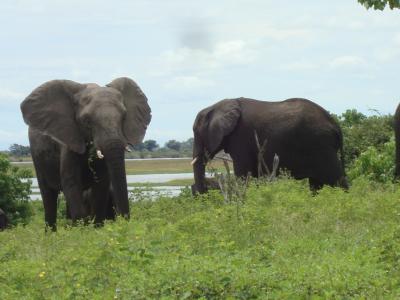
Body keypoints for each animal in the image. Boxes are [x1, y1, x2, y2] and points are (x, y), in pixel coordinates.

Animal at [20, 77, 152, 230]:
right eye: (87, 121)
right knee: (48, 196)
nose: (124, 222)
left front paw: (96, 229)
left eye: (124, 117)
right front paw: (81, 231)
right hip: (36, 156)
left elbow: (101, 183)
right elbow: (71, 181)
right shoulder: (69, 138)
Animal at [191, 97, 346, 193]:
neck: (218, 106)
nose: (204, 192)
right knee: (316, 184)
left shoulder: (240, 138)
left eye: (196, 132)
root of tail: (336, 125)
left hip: (321, 146)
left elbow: (243, 174)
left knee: (337, 179)